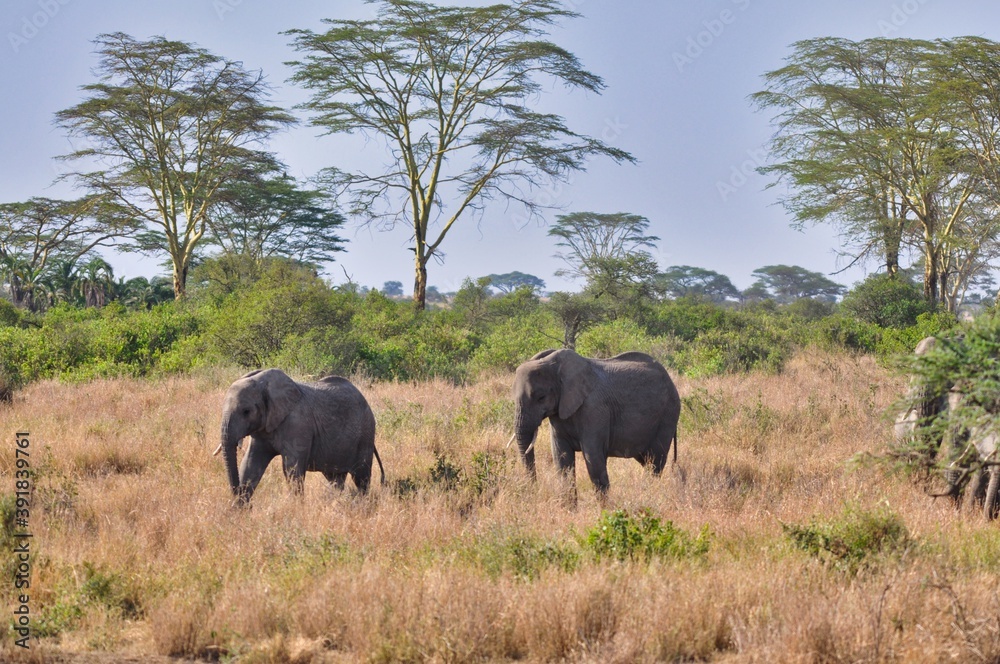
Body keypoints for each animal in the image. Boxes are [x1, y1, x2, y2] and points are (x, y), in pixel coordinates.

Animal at [215, 368, 383, 505]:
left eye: (246, 411)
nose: (250, 506)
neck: (264, 383)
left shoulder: (298, 423)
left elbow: (292, 468)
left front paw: (295, 508)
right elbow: (250, 464)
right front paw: (239, 510)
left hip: (366, 434)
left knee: (361, 476)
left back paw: (362, 503)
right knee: (336, 478)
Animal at [511, 348, 681, 496]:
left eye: (541, 397)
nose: (533, 490)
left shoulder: (594, 410)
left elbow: (593, 460)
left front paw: (605, 510)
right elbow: (562, 459)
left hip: (668, 415)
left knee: (654, 462)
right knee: (647, 461)